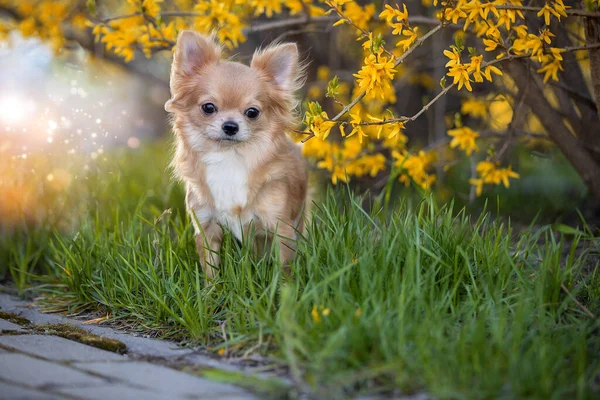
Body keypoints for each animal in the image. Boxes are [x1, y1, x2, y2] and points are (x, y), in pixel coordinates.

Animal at [164, 31, 308, 278]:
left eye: (252, 112)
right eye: (208, 108)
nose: (230, 126)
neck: (229, 158)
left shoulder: (280, 226)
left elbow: (285, 267)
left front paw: (285, 287)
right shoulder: (206, 226)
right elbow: (210, 268)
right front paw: (211, 289)